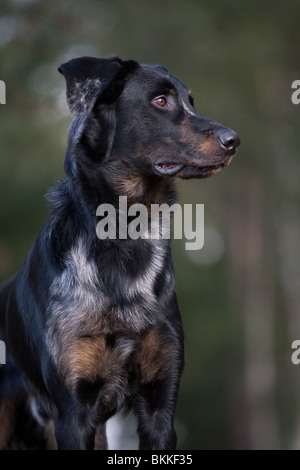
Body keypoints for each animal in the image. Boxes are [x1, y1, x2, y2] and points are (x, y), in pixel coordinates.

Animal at [0, 57, 240, 450]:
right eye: (160, 101)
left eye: (191, 101)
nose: (233, 140)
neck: (126, 238)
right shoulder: (73, 414)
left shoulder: (160, 404)